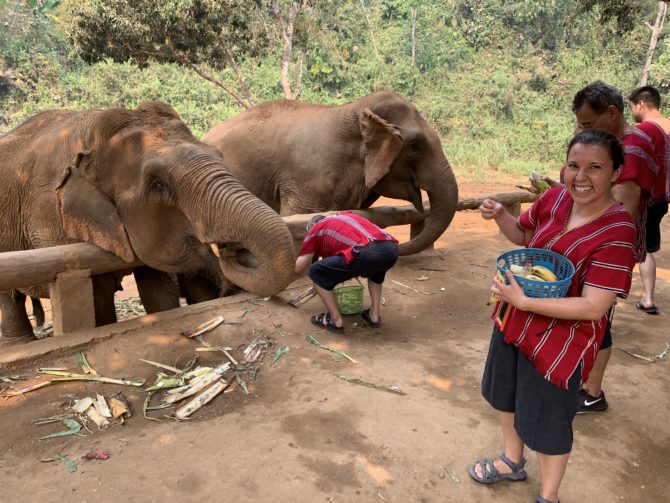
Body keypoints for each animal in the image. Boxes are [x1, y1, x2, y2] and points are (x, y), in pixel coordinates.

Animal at [0, 102, 296, 346]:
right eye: (158, 185)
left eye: (219, 155)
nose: (230, 249)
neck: (88, 141)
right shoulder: (53, 224)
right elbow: (98, 297)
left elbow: (158, 288)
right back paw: (22, 343)